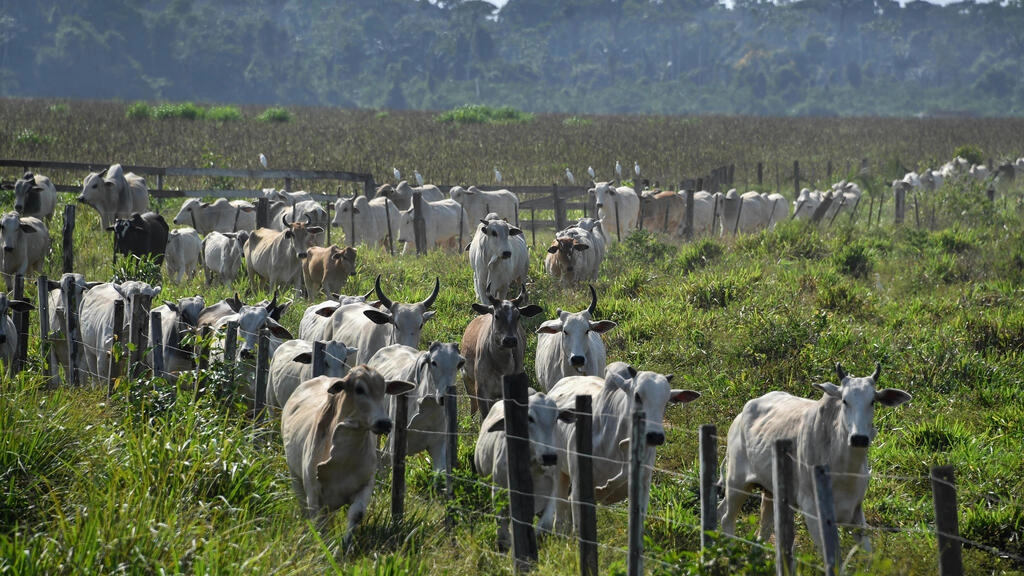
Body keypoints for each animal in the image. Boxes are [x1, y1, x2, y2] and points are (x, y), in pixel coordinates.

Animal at [280, 366, 411, 541]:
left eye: (384, 390)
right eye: (359, 389)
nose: (384, 423)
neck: (343, 461)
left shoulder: (365, 485)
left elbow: (356, 514)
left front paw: (345, 544)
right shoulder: (313, 494)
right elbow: (319, 524)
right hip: (295, 476)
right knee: (304, 509)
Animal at [544, 360, 704, 532]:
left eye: (666, 401)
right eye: (637, 396)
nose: (655, 436)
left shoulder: (644, 486)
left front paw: (604, 490)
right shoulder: (579, 485)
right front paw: (603, 490)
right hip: (558, 472)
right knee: (560, 516)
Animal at [720, 362, 913, 557]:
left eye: (872, 401)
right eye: (845, 401)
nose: (859, 438)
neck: (844, 470)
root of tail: (739, 417)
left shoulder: (856, 511)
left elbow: (868, 555)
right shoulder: (813, 510)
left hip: (769, 492)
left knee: (762, 532)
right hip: (737, 483)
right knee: (726, 518)